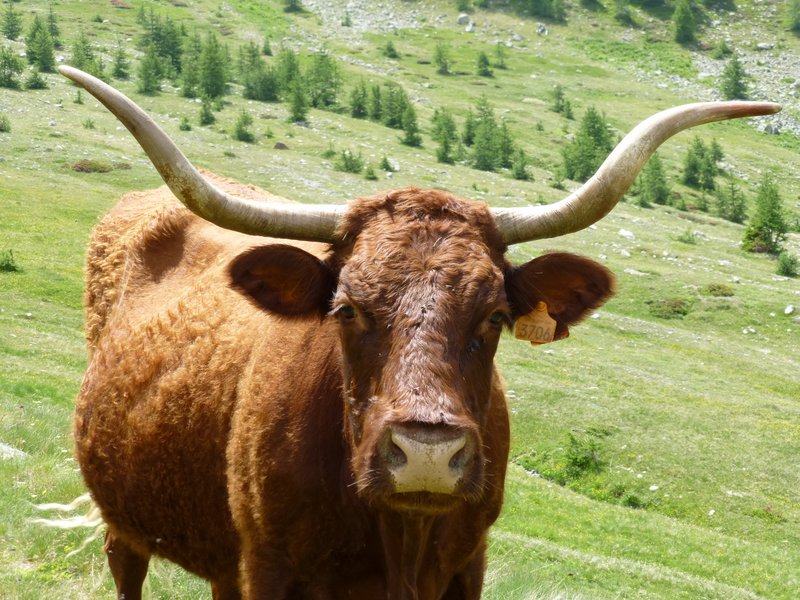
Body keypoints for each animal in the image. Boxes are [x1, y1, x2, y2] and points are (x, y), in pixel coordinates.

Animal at [57, 65, 780, 600]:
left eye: (494, 315)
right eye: (346, 309)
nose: (427, 453)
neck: (395, 537)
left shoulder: (465, 567)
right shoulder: (267, 566)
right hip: (124, 522)